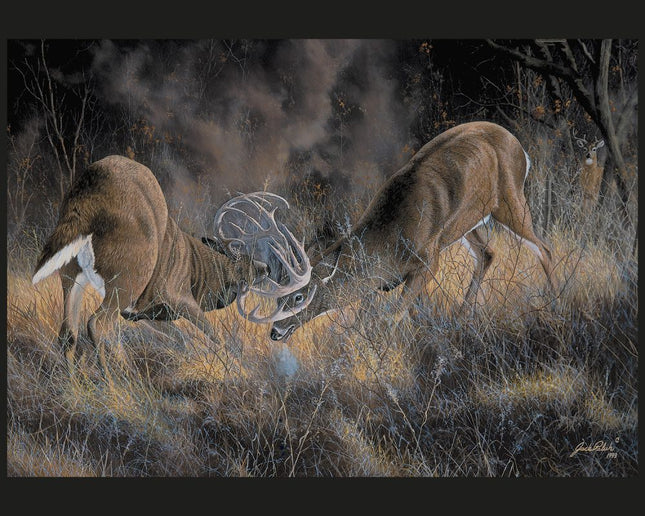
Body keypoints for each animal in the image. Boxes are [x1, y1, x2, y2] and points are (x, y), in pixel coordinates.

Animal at [31, 155, 270, 373]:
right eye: (241, 258)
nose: (265, 267)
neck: (199, 268)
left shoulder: (144, 314)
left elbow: (181, 339)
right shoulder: (180, 296)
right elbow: (215, 335)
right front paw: (240, 368)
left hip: (71, 274)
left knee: (67, 333)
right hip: (129, 277)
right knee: (96, 323)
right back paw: (117, 382)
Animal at [224, 121, 558, 342]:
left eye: (299, 297)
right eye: (280, 296)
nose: (275, 332)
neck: (389, 239)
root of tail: (520, 147)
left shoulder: (428, 260)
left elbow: (393, 315)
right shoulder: (385, 282)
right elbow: (379, 316)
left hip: (510, 199)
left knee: (544, 247)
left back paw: (553, 302)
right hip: (467, 223)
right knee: (488, 253)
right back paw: (461, 316)